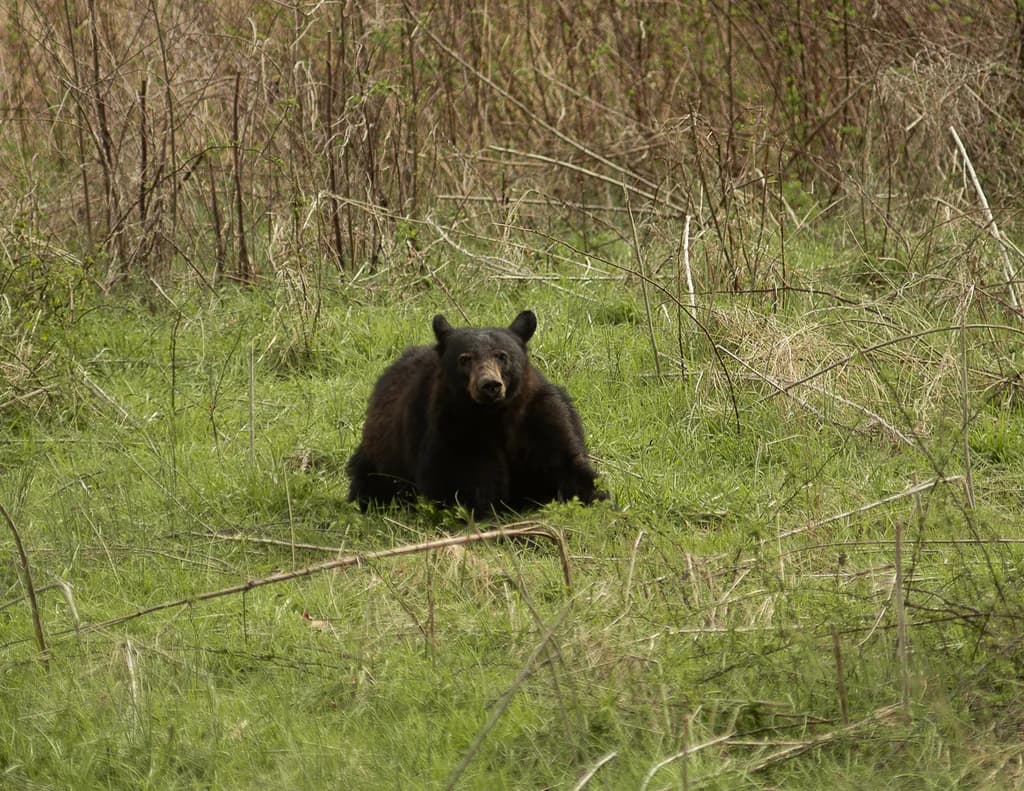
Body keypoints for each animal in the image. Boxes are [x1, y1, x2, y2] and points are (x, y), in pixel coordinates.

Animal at [346, 310, 604, 515]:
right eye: (465, 359)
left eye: (502, 356)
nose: (489, 385)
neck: (496, 415)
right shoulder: (455, 426)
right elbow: (464, 476)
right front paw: (484, 509)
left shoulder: (539, 415)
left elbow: (565, 461)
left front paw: (595, 498)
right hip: (381, 456)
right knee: (371, 482)